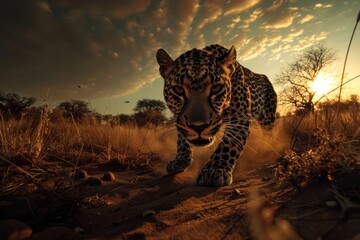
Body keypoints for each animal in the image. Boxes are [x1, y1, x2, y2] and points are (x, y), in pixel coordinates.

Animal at [156, 45, 278, 188]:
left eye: (216, 88)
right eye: (178, 90)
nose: (199, 127)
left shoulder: (239, 118)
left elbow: (228, 146)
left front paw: (214, 169)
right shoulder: (180, 118)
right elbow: (182, 138)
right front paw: (180, 160)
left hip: (267, 118)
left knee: (269, 134)